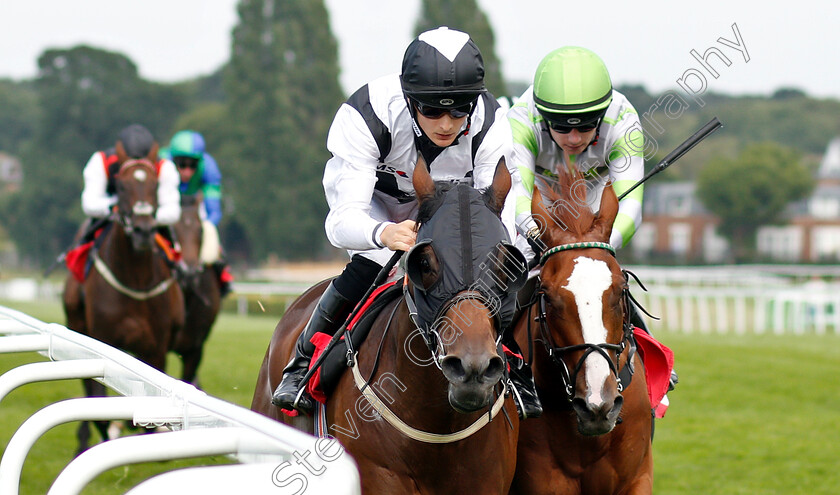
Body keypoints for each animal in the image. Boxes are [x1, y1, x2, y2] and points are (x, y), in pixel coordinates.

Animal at [62, 152, 185, 454]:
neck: (136, 278)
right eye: (121, 187)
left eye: (155, 185)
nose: (142, 231)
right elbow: (98, 403)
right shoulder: (102, 342)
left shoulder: (156, 347)